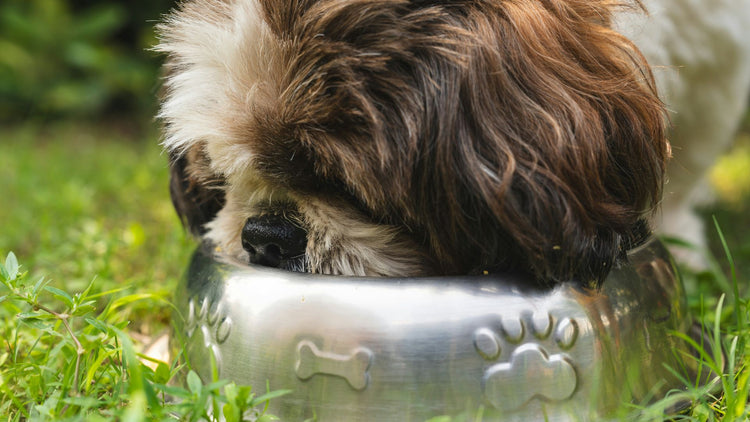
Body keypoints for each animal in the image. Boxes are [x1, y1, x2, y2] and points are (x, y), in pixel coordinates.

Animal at [154, 0, 748, 286]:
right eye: (224, 178)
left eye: (349, 187)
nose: (266, 234)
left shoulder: (718, 70)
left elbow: (686, 169)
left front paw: (680, 240)